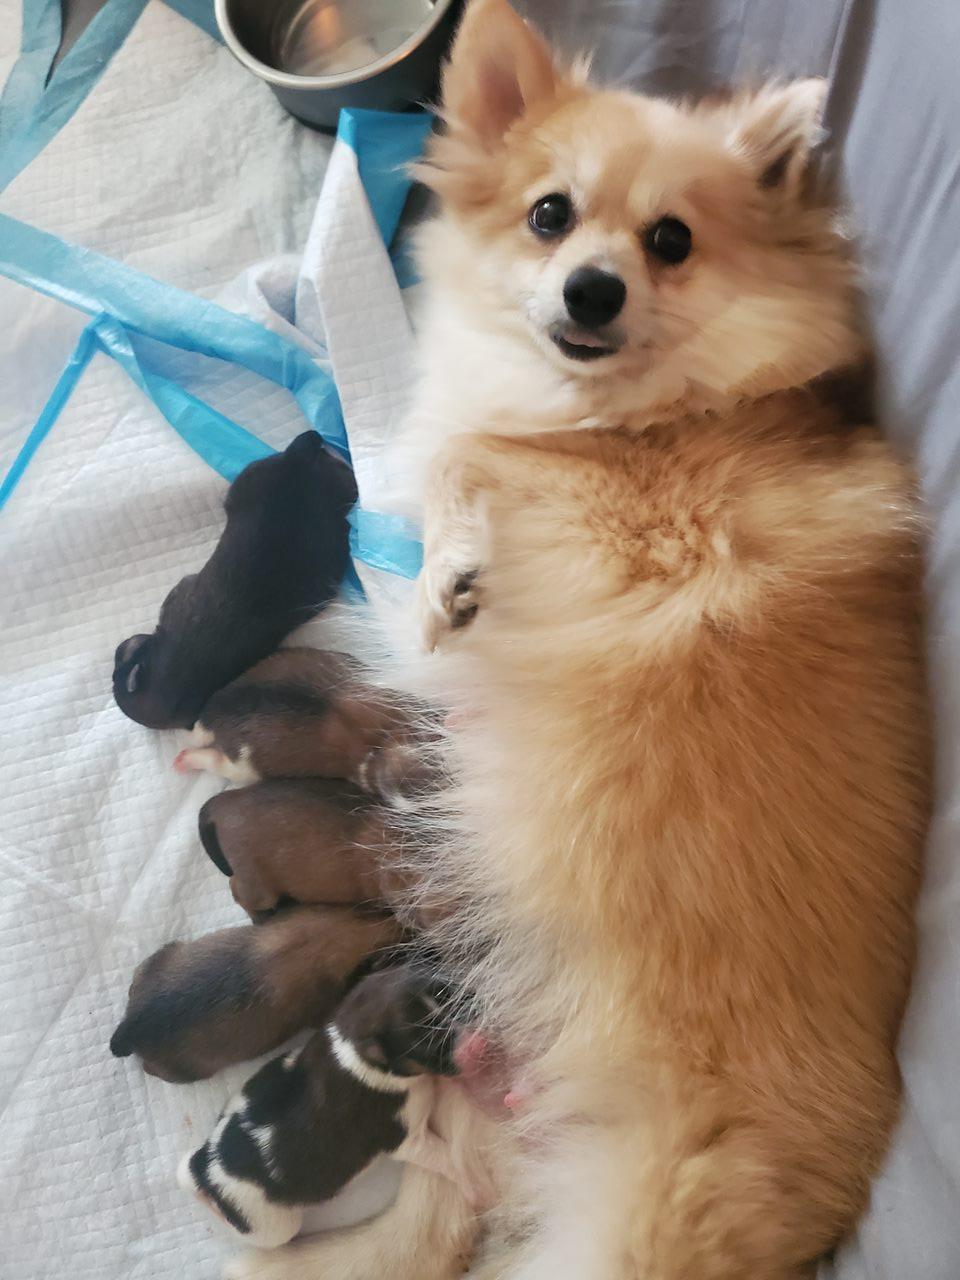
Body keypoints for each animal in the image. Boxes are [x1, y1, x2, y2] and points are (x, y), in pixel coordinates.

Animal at [220, 3, 931, 1278]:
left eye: (672, 240)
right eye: (549, 215)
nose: (592, 290)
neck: (634, 415)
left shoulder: (606, 514)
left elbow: (464, 454)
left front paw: (444, 580)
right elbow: (463, 449)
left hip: (629, 1220)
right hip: (457, 1126)